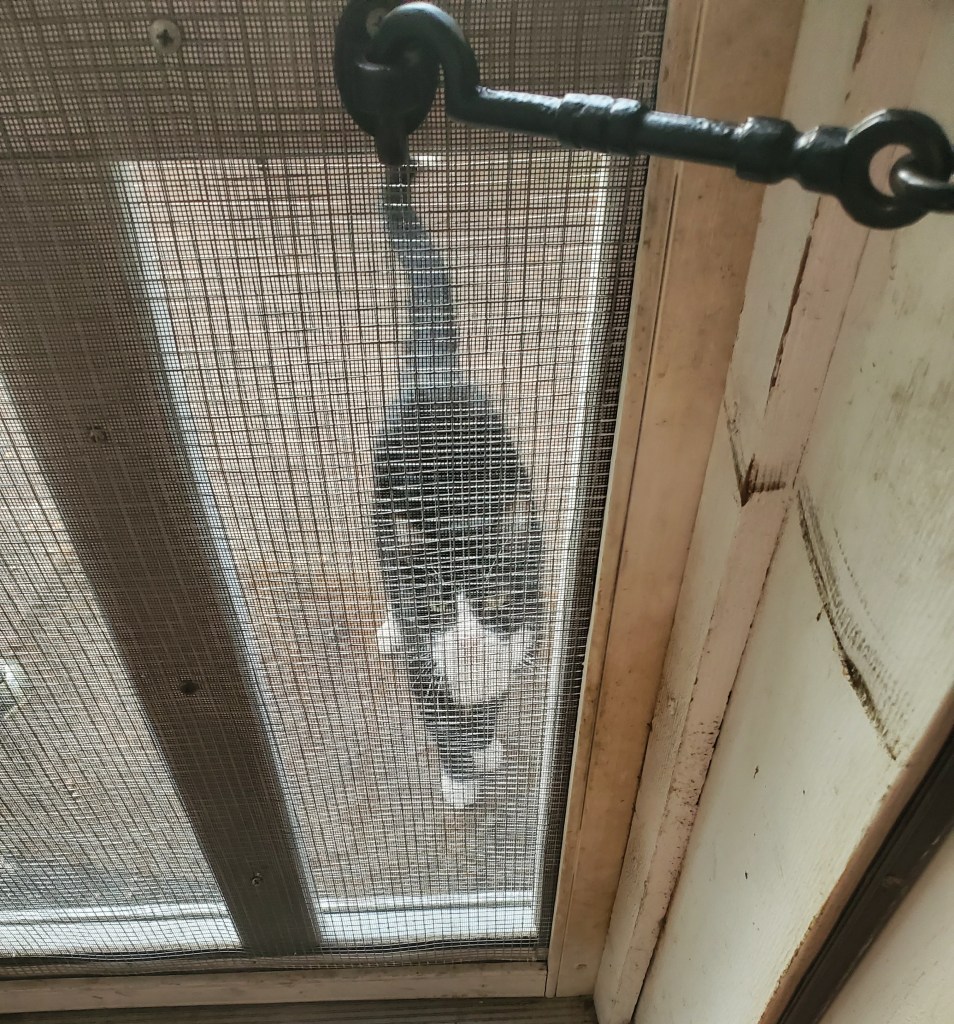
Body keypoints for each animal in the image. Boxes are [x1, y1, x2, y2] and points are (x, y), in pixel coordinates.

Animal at [372, 165, 543, 809]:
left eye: (492, 596)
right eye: (440, 599)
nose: (467, 639)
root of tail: (438, 378)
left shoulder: (519, 634)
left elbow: (491, 701)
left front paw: (486, 745)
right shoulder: (428, 671)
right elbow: (442, 719)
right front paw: (459, 776)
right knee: (388, 561)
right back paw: (392, 626)